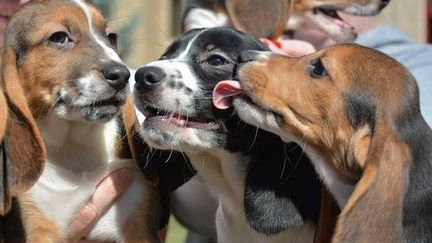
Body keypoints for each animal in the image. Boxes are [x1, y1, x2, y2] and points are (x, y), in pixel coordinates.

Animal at [0, 0, 189, 242]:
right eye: (59, 37)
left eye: (112, 38)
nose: (123, 75)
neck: (73, 147)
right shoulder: (36, 225)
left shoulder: (137, 223)